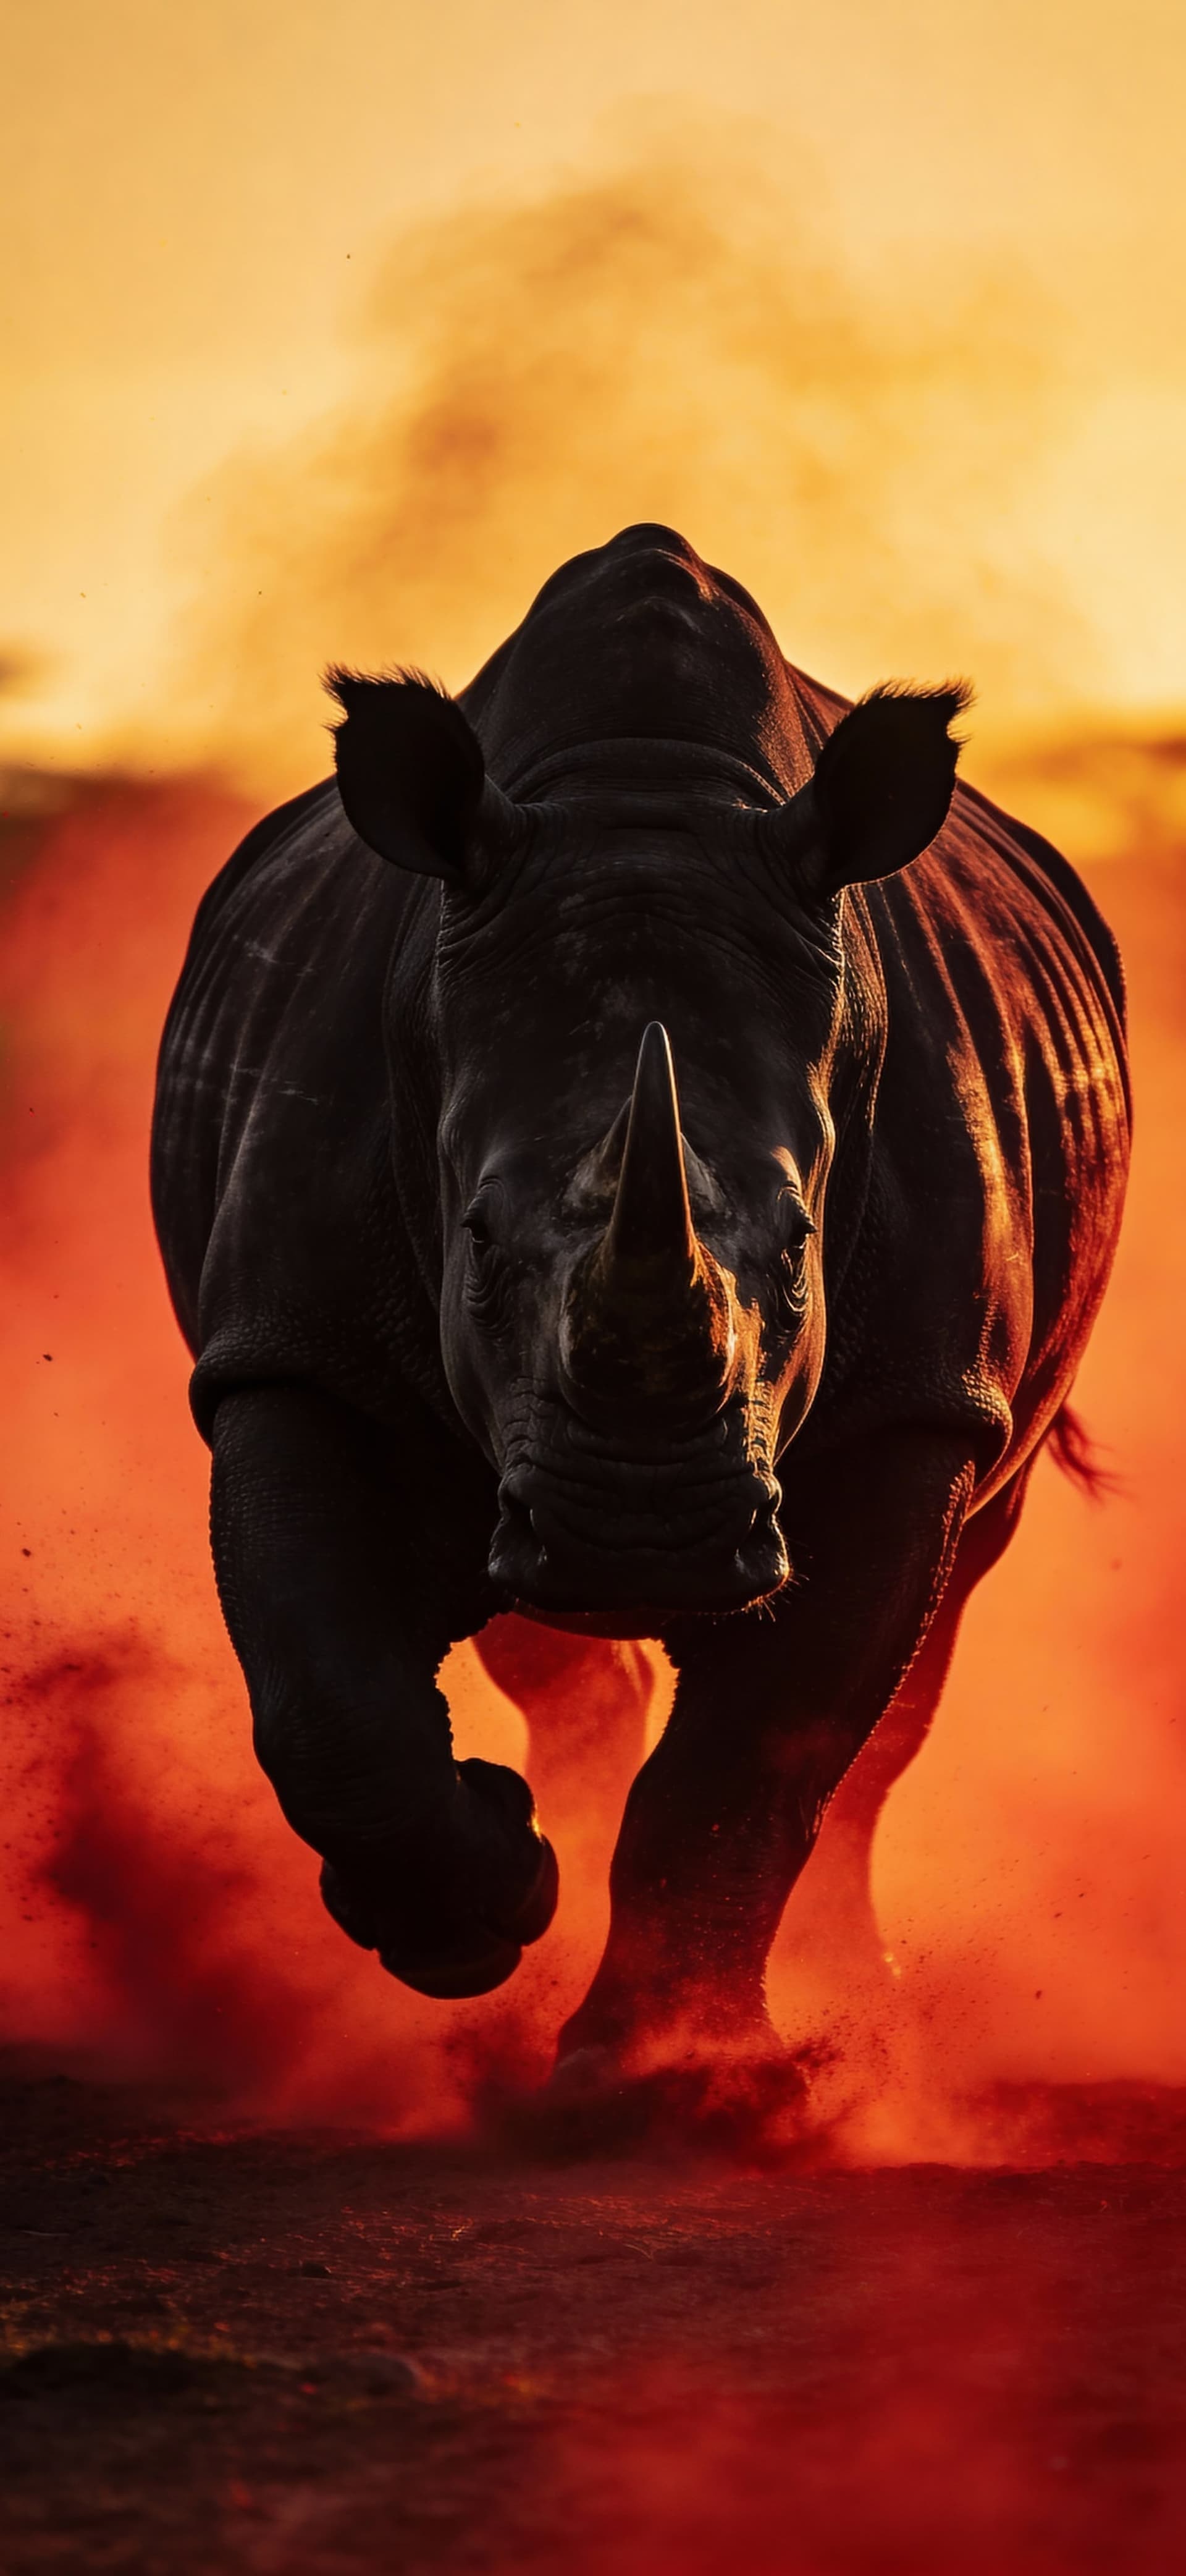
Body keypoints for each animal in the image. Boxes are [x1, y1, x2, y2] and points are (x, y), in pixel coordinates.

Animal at [151, 524, 1128, 2071]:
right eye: (477, 1239)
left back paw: (860, 2001)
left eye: (800, 1246)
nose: (644, 1541)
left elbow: (759, 1754)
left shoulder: (917, 1400)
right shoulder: (290, 1347)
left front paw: (658, 2079)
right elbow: (322, 1699)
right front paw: (480, 1919)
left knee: (921, 1650)